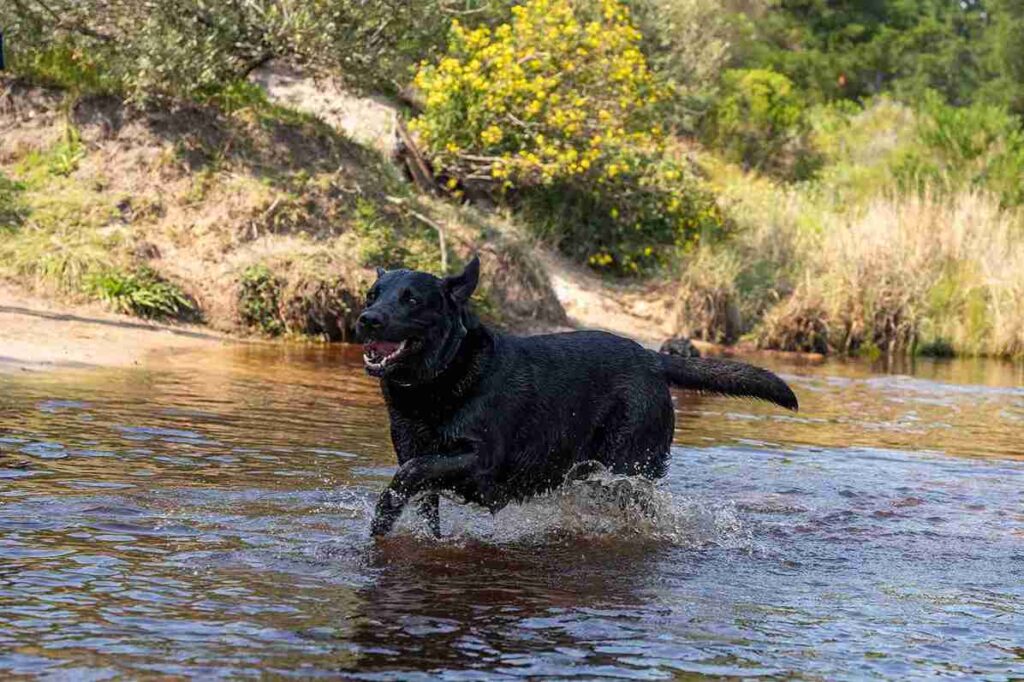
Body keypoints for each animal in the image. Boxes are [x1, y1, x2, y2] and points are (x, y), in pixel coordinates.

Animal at [356, 256, 794, 536]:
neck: (439, 380)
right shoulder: (420, 459)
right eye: (371, 294)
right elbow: (419, 498)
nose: (366, 319)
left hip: (626, 471)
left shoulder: (479, 458)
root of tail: (649, 358)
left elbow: (410, 473)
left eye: (412, 299)